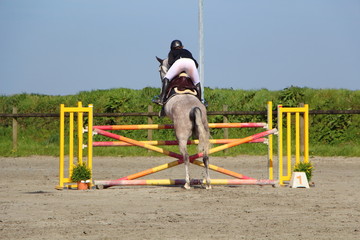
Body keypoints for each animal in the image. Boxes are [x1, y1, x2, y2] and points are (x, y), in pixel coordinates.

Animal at [155, 56, 211, 189]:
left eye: (159, 70)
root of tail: (194, 108)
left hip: (181, 137)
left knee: (186, 157)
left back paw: (187, 183)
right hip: (205, 131)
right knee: (205, 157)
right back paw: (208, 183)